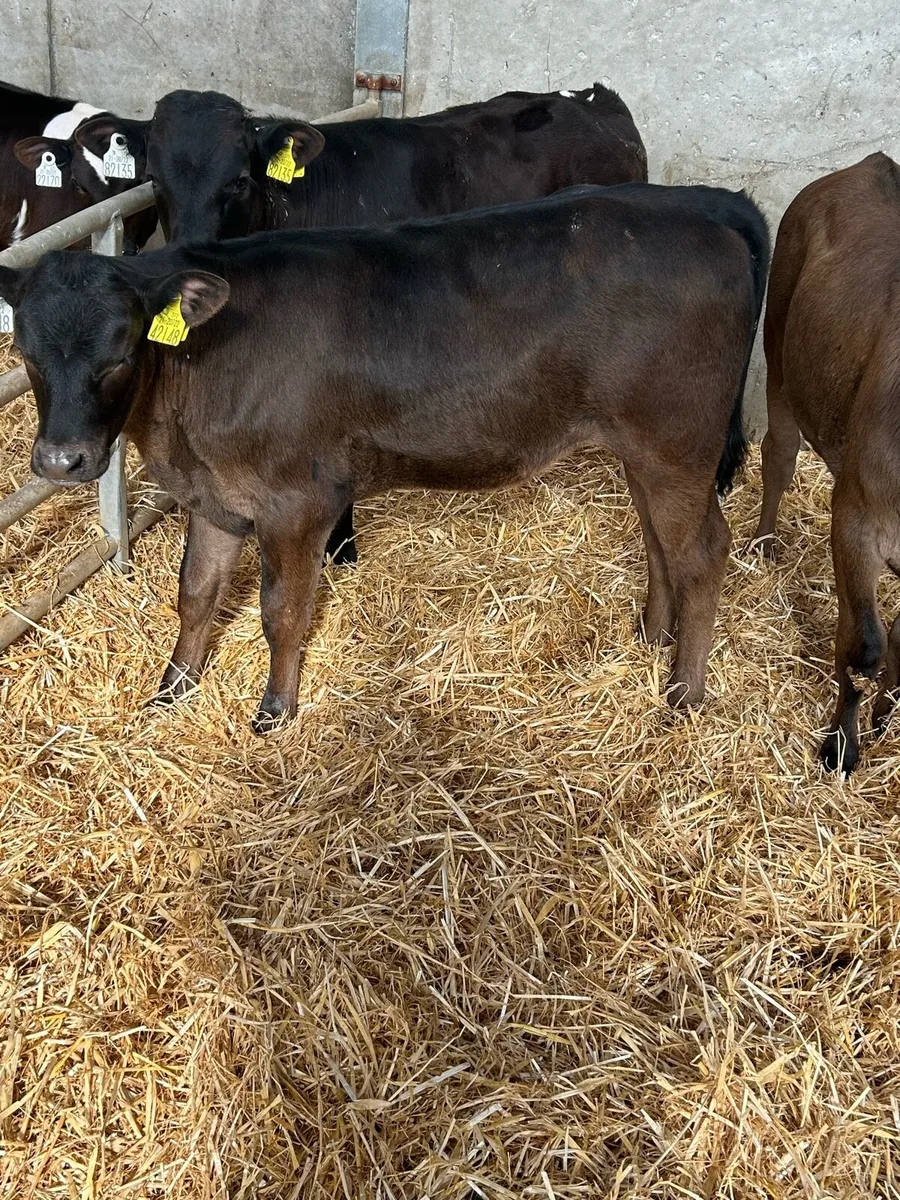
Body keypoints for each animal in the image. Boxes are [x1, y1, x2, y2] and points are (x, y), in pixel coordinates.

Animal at [0, 183, 767, 734]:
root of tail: (704, 211)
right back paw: (651, 638)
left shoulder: (296, 501)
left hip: (677, 444)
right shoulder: (214, 495)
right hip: (646, 452)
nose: (62, 461)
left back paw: (683, 694)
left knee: (704, 552)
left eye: (121, 353)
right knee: (659, 543)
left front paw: (275, 710)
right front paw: (172, 689)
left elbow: (282, 610)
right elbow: (195, 594)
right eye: (27, 354)